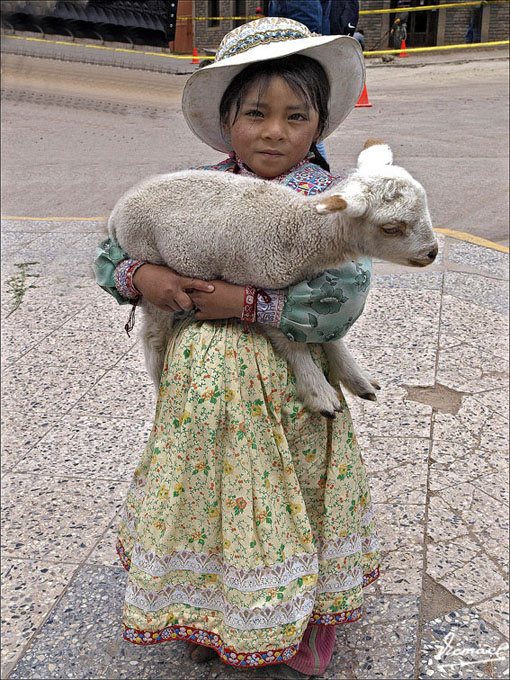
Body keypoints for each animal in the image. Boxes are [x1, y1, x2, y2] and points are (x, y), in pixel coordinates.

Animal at [109, 141, 436, 418]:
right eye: (391, 228)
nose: (432, 252)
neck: (298, 232)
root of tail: (117, 210)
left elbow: (330, 334)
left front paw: (357, 379)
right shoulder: (260, 286)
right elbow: (292, 346)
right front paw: (320, 394)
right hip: (151, 264)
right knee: (153, 337)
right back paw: (158, 382)